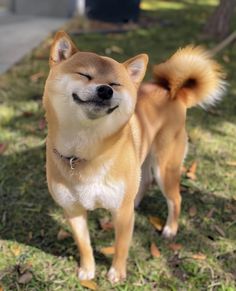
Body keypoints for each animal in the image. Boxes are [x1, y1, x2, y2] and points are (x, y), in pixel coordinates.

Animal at [42, 31, 225, 282]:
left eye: (115, 84)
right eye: (85, 75)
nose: (105, 90)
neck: (86, 151)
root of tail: (173, 92)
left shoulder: (121, 214)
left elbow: (121, 246)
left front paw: (117, 274)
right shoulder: (73, 210)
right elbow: (84, 245)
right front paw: (88, 270)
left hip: (164, 168)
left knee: (175, 199)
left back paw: (170, 228)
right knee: (144, 181)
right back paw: (137, 201)